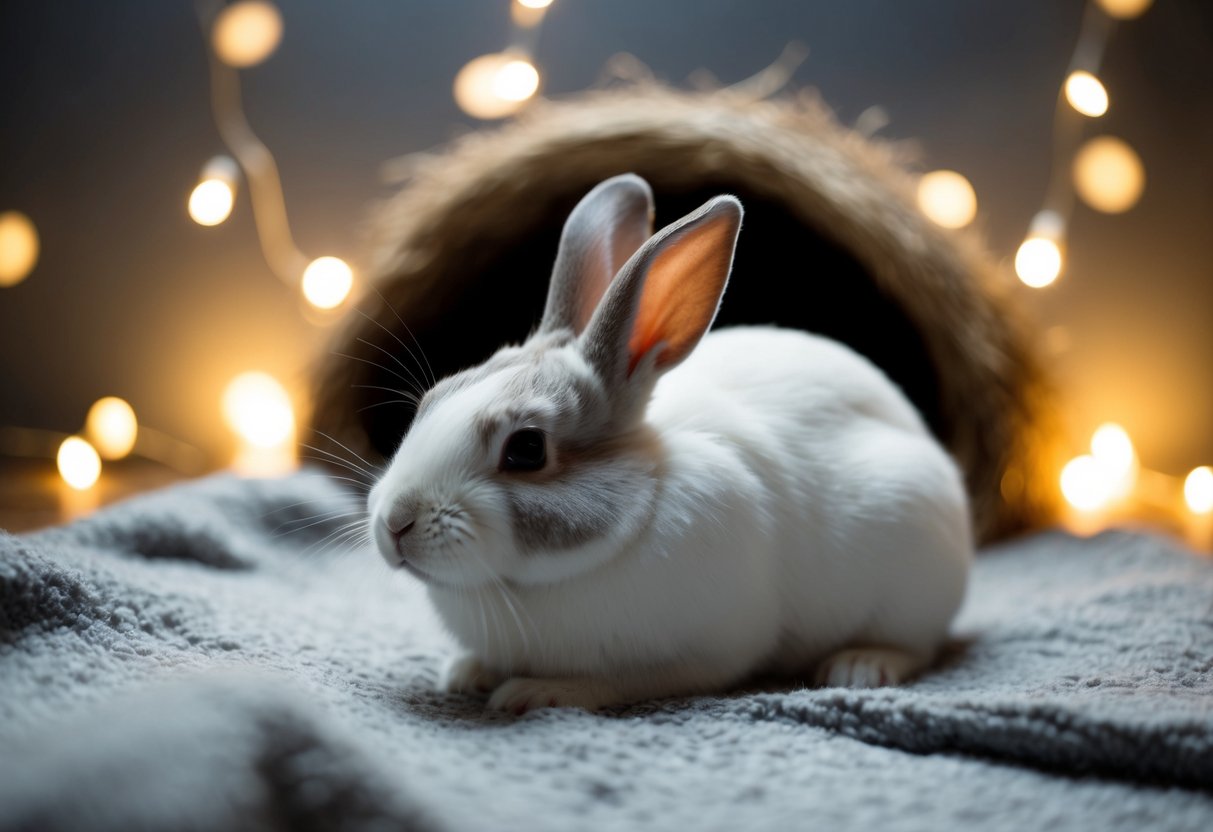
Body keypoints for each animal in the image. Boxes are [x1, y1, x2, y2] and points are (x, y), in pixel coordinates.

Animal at [367, 173, 972, 714]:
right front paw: (464, 672)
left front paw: (538, 692)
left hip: (913, 559)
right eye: (433, 400)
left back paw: (861, 665)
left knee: (919, 644)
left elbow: (625, 681)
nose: (395, 522)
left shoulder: (708, 651)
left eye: (527, 449)